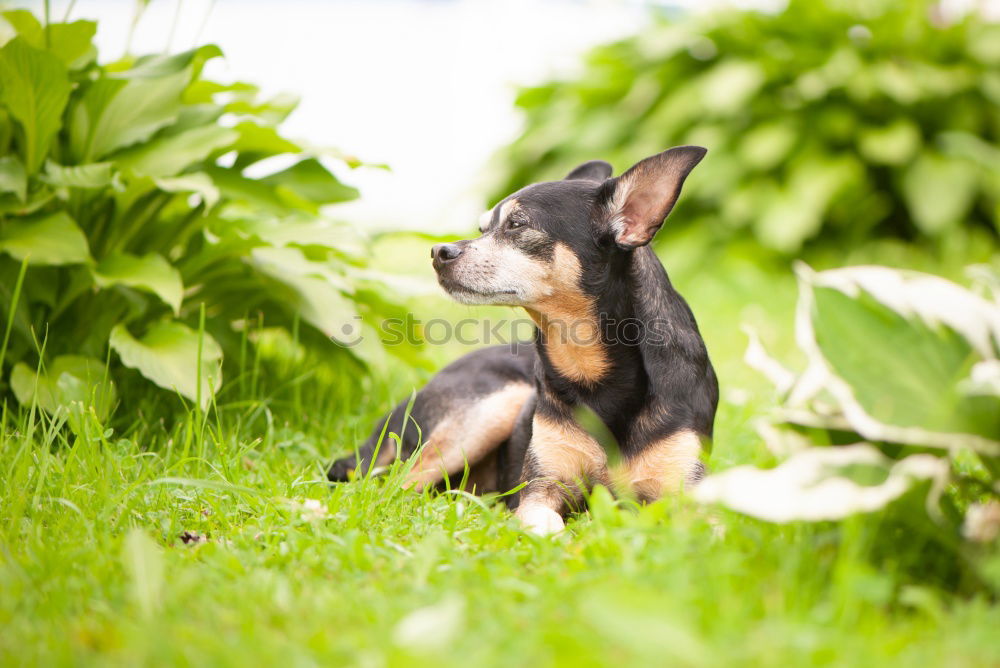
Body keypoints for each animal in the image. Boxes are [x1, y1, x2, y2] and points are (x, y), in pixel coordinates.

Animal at [330, 146, 720, 532]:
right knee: (390, 487)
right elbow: (547, 525)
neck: (591, 369)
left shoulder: (688, 496)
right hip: (490, 408)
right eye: (482, 229)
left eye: (517, 224)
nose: (438, 252)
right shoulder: (541, 488)